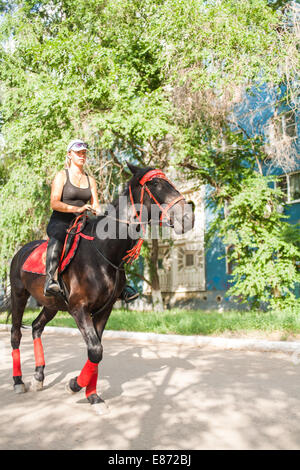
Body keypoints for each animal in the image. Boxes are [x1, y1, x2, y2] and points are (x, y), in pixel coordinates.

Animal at [8, 163, 195, 414]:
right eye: (155, 183)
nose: (188, 216)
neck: (104, 252)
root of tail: (22, 250)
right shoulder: (78, 308)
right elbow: (95, 350)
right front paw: (75, 386)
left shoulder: (104, 309)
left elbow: (96, 350)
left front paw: (93, 396)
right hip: (19, 296)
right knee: (16, 334)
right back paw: (18, 381)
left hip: (51, 305)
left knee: (37, 327)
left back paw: (39, 376)